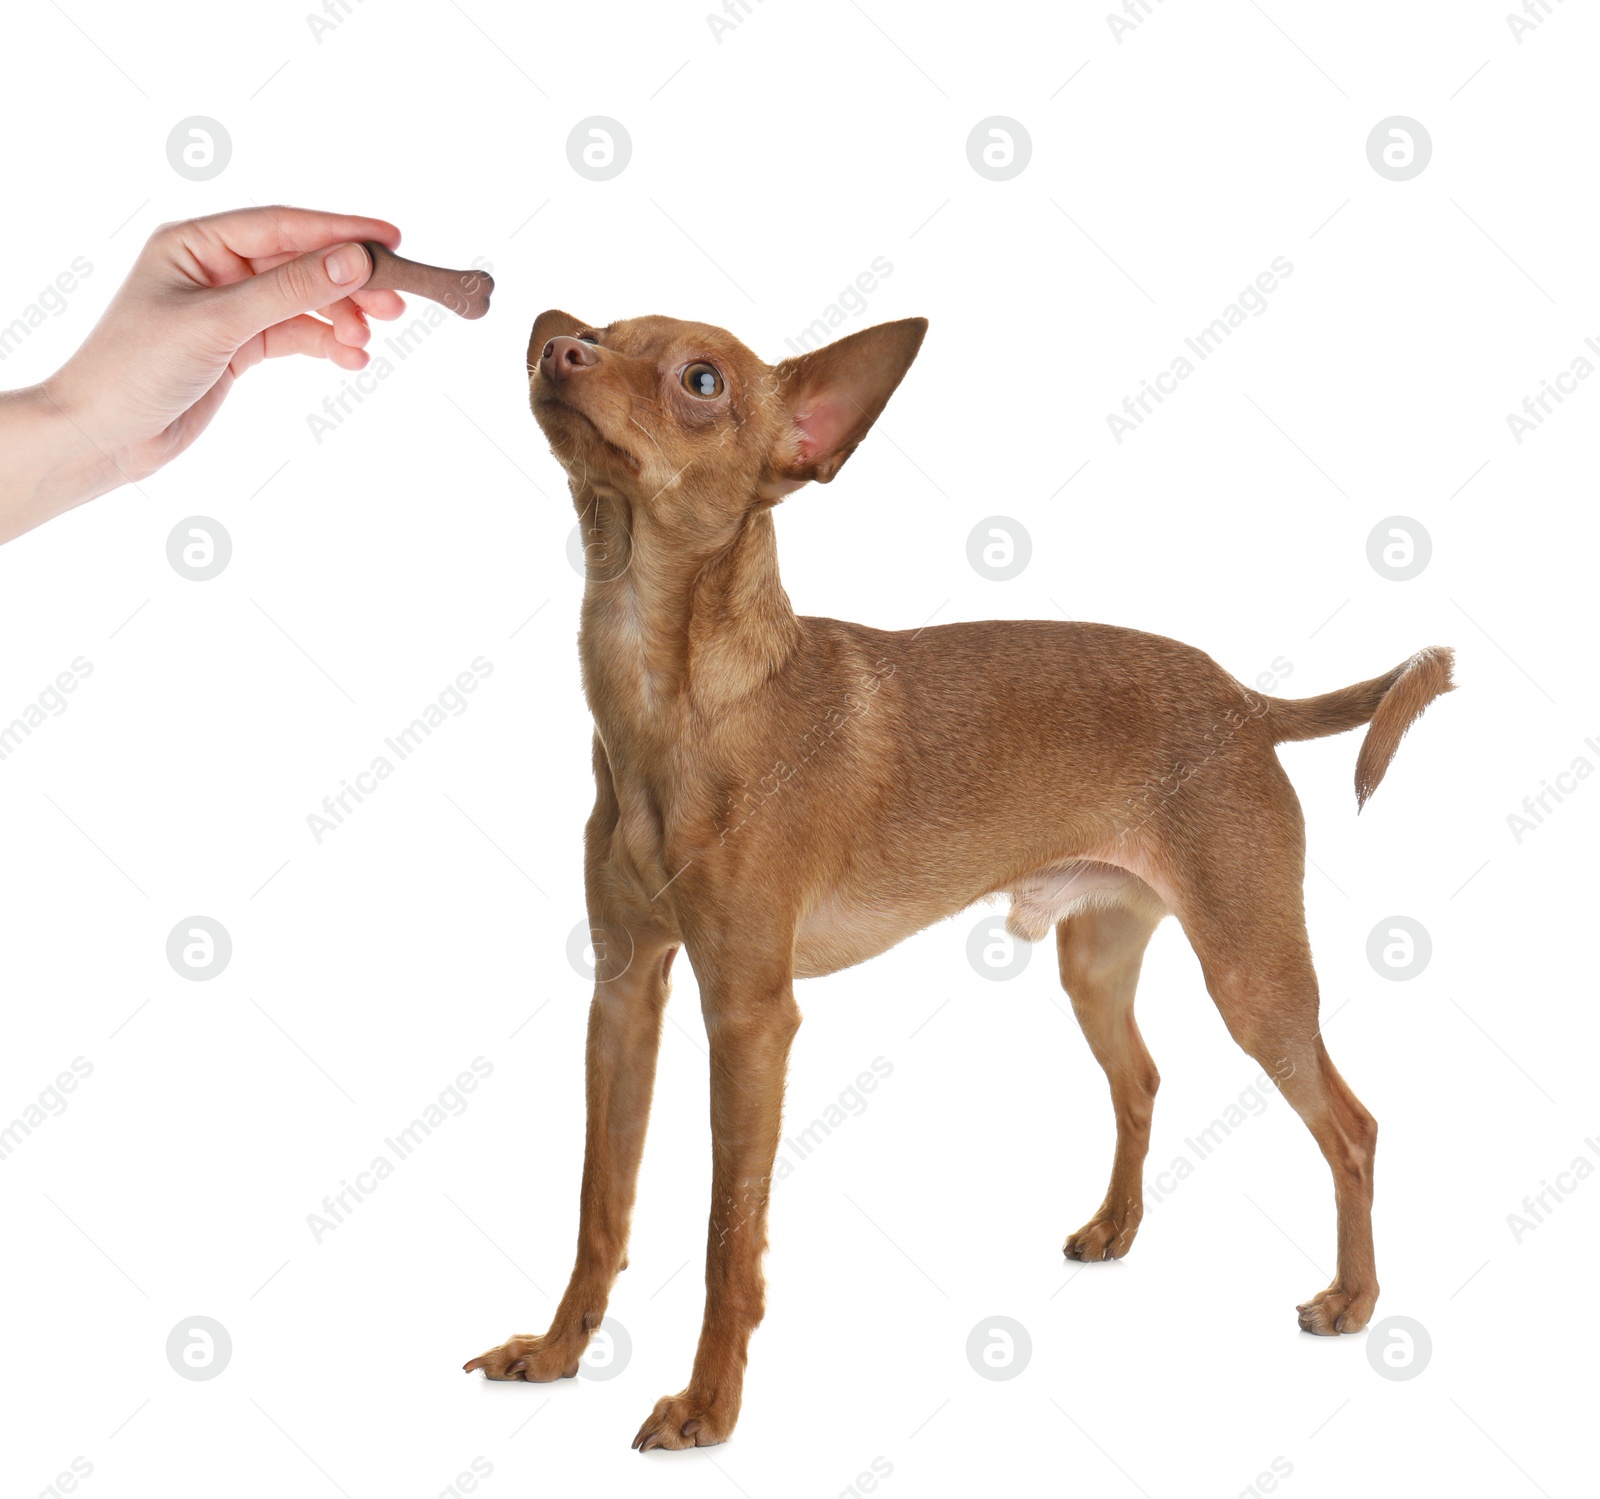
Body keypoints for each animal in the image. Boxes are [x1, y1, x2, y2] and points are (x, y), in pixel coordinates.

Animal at [464, 310, 1452, 1446]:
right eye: (595, 331)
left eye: (700, 381)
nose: (556, 349)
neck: (672, 698)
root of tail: (1246, 702)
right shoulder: (625, 995)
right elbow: (600, 1201)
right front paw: (558, 1350)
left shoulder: (748, 1017)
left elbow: (727, 1235)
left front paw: (708, 1404)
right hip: (1096, 964)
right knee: (1143, 1080)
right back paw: (1115, 1227)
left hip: (1253, 977)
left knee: (1353, 1126)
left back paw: (1355, 1297)